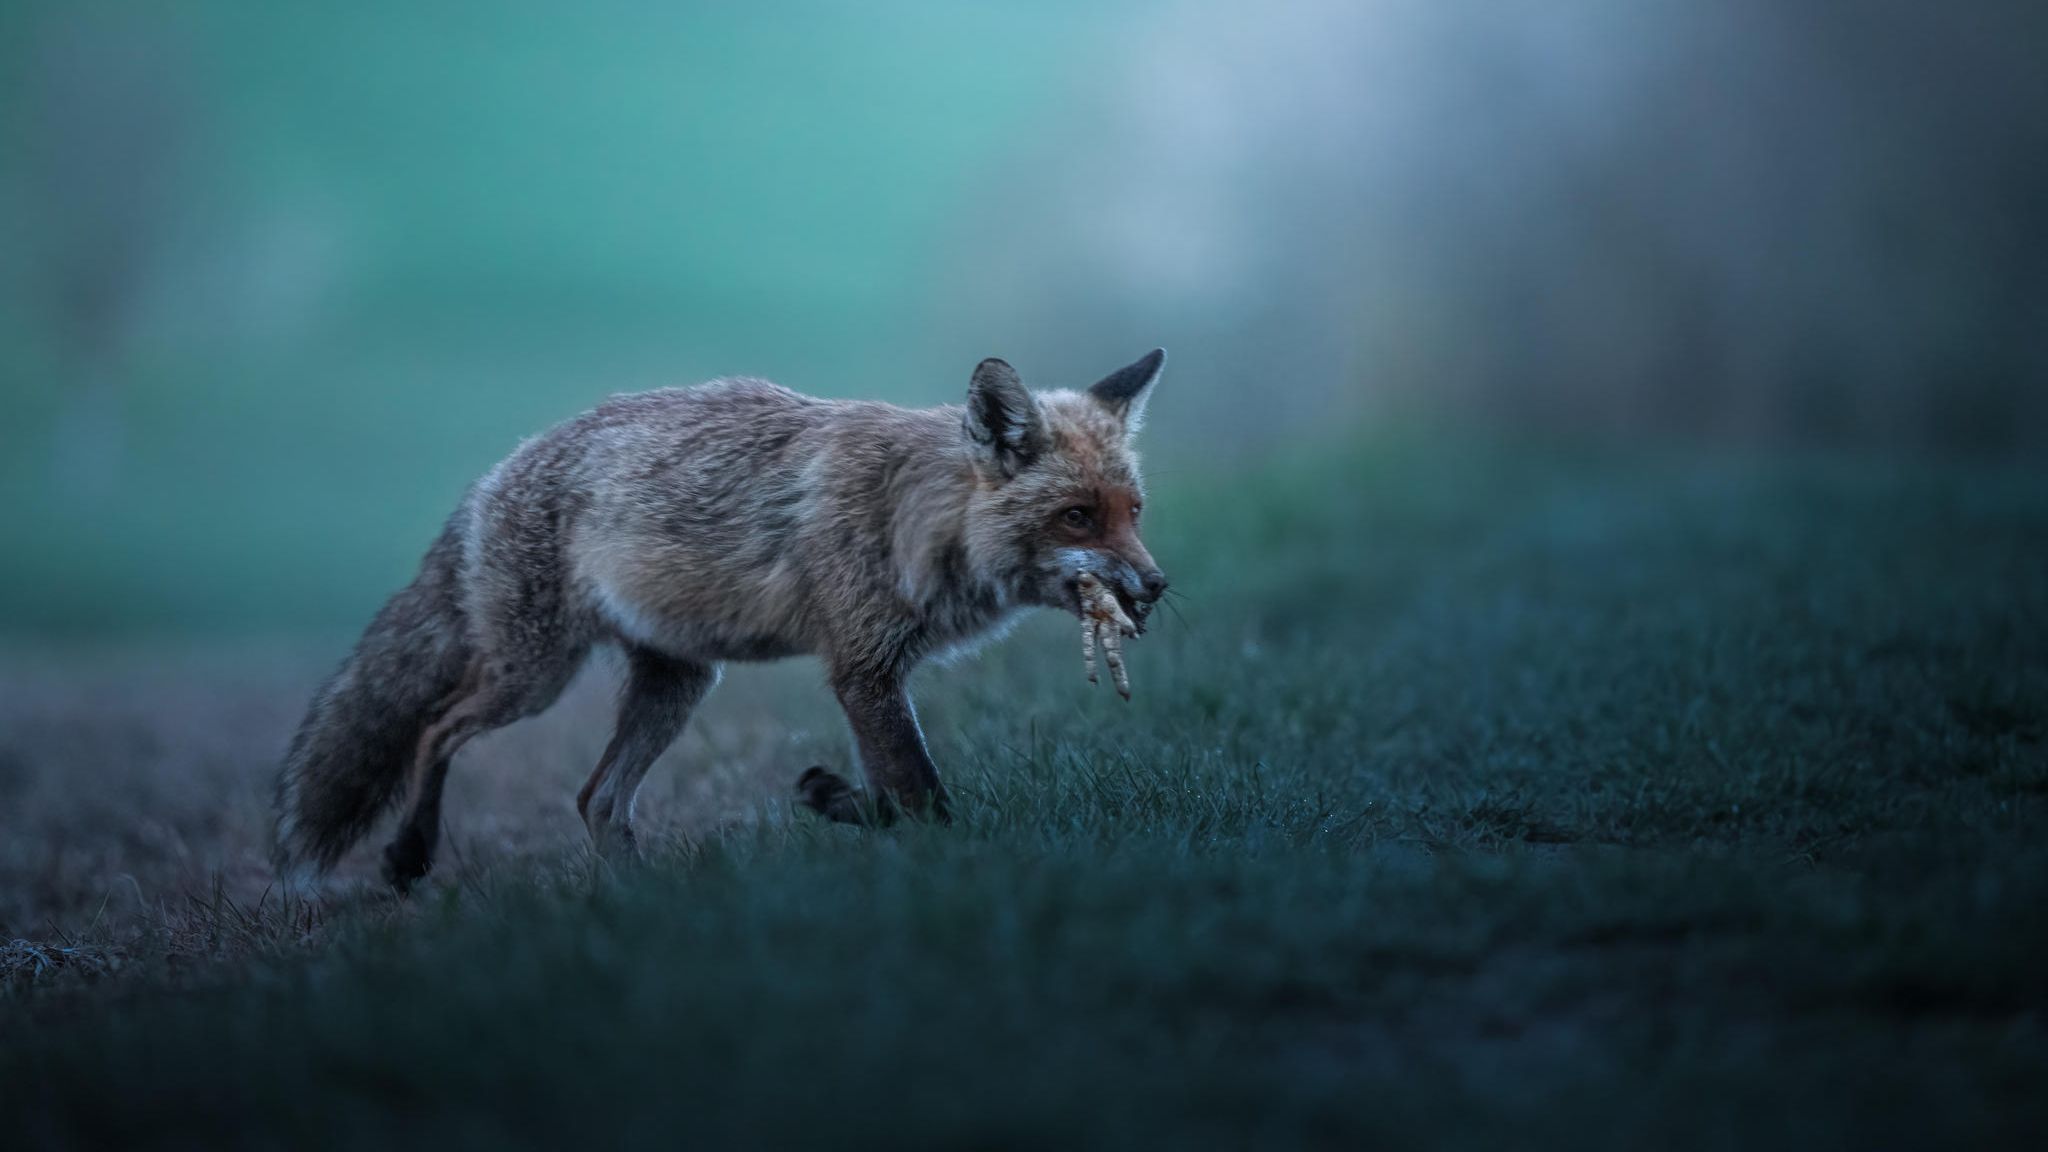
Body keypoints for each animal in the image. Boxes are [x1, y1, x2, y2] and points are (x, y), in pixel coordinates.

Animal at [273, 349, 1171, 890]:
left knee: (596, 799)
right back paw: (409, 853)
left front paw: (834, 799)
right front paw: (888, 825)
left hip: (678, 683)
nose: (1157, 586)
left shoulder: (874, 674)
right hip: (532, 678)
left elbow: (896, 797)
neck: (917, 519)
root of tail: (495, 473)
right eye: (1077, 517)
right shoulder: (863, 667)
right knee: (436, 729)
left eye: (1133, 510)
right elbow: (920, 799)